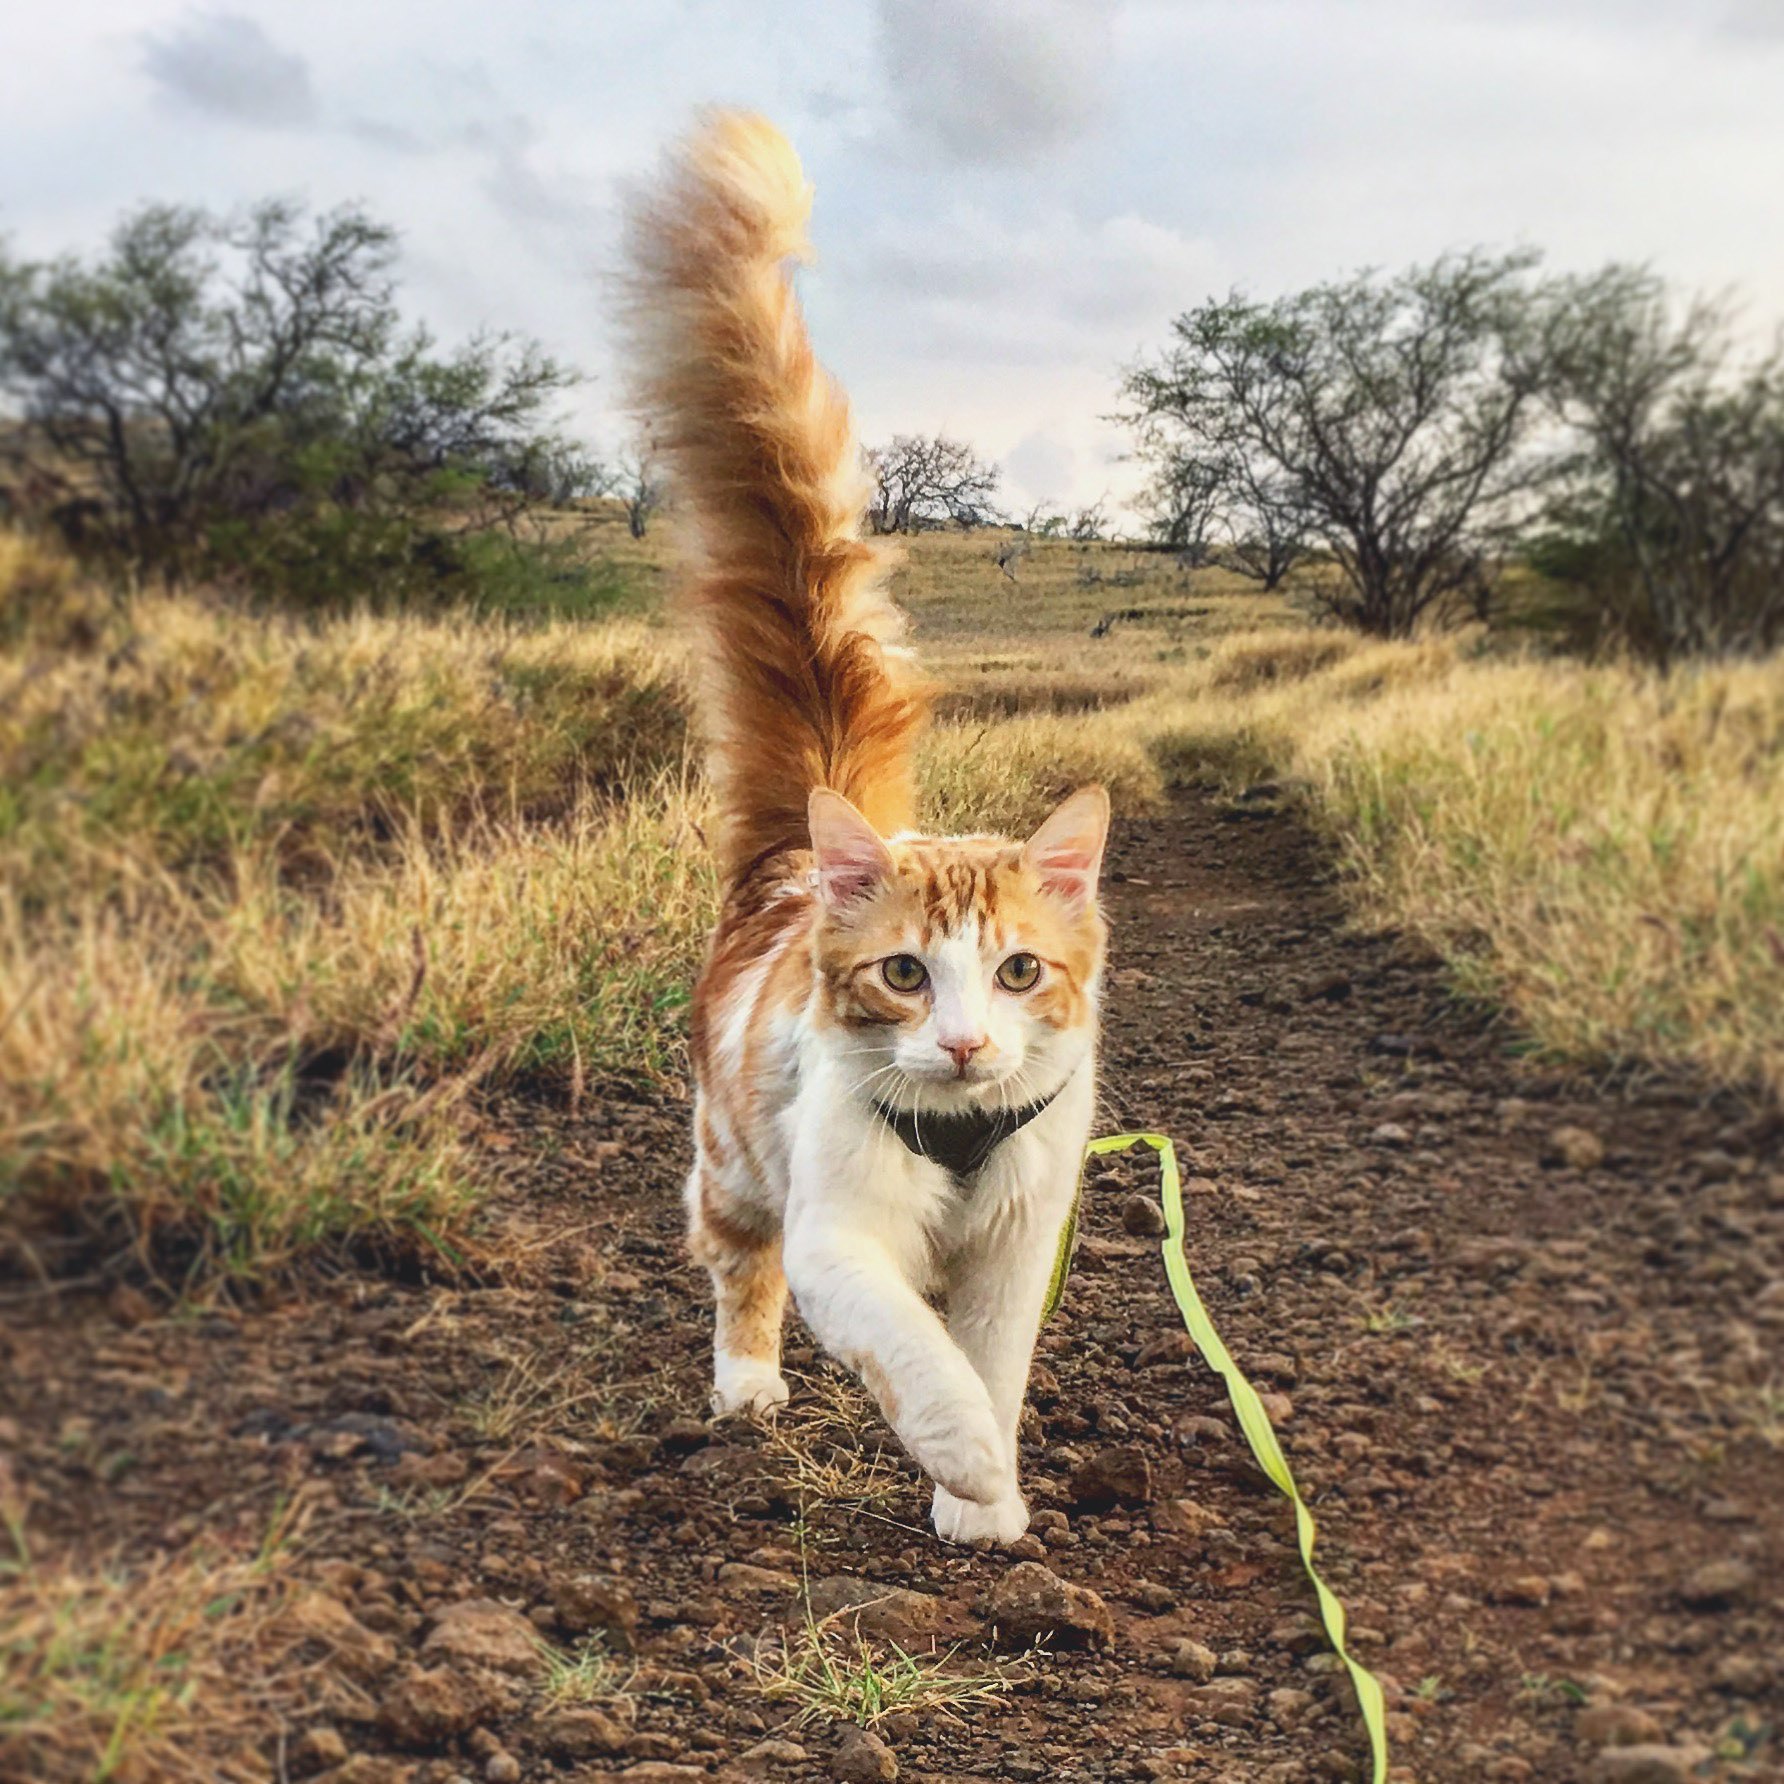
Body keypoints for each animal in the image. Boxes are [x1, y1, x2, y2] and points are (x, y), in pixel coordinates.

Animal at [620, 111, 1106, 1548]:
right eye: (902, 972)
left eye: (1018, 970)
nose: (960, 1044)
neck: (958, 1134)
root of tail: (792, 854)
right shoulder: (840, 1232)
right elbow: (915, 1353)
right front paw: (966, 1459)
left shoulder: (1020, 1240)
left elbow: (989, 1360)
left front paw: (984, 1504)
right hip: (735, 1164)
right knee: (740, 1274)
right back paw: (745, 1389)